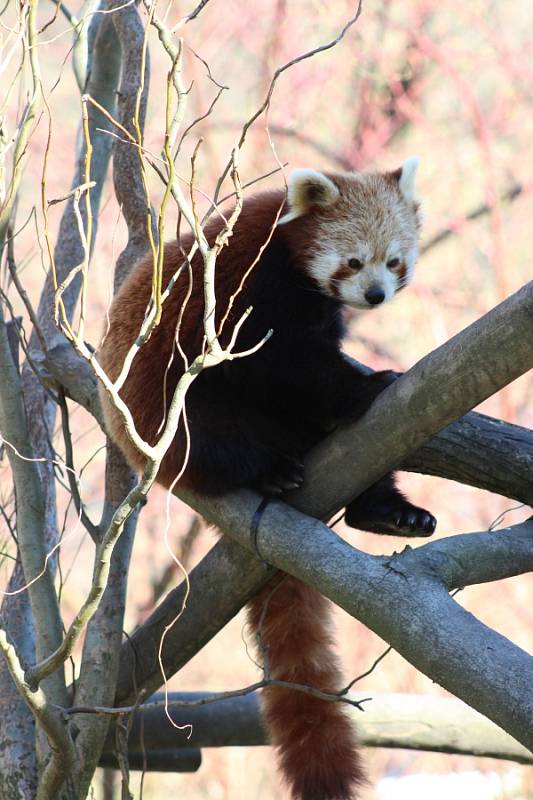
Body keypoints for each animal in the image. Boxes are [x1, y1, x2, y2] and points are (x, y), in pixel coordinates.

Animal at [100, 161, 436, 800]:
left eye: (395, 261)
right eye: (353, 261)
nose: (375, 295)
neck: (292, 260)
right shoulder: (246, 290)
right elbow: (281, 364)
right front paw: (365, 385)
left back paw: (385, 511)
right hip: (171, 416)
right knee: (217, 426)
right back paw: (271, 471)